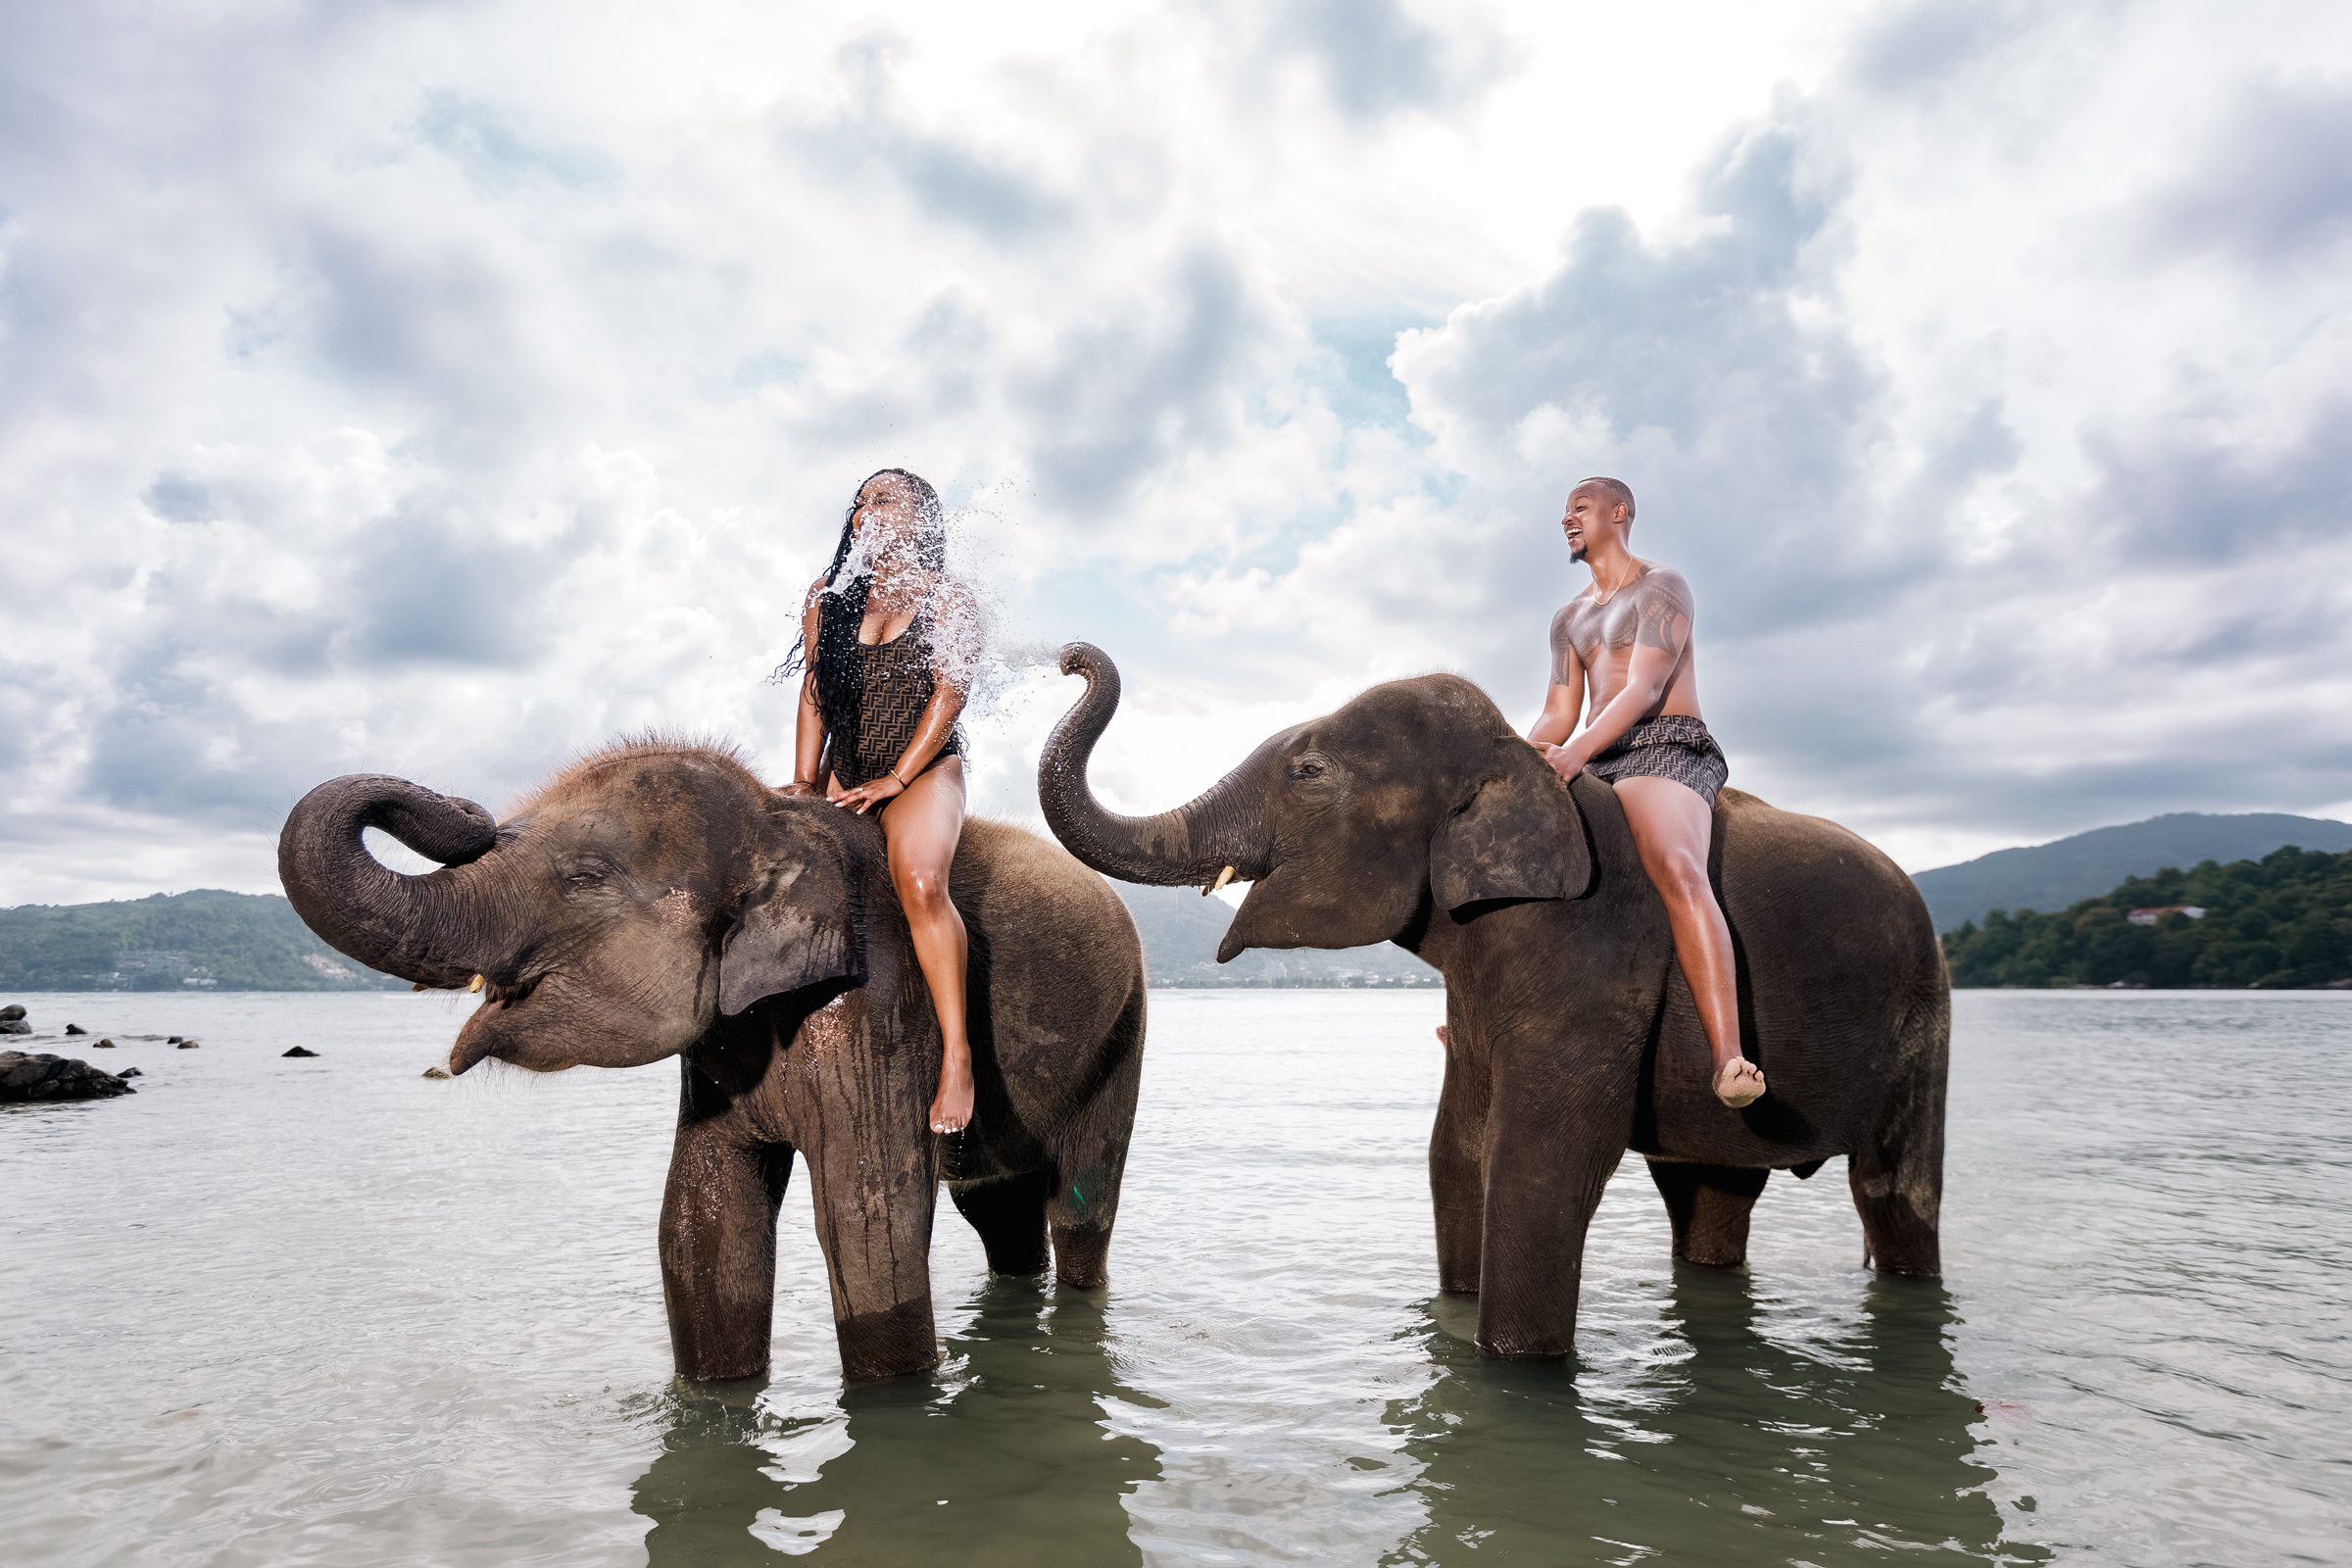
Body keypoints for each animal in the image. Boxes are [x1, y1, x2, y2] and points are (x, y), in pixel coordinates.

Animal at [279, 737, 1146, 1382]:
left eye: (582, 878)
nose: (468, 808)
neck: (775, 818)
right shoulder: (721, 1049)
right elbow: (704, 1220)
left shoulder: (882, 1000)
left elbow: (871, 1221)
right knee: (999, 1211)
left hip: (1124, 1027)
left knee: (1081, 1200)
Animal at [1038, 645, 1946, 1359]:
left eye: (1308, 772)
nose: (1069, 658)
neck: (1517, 760)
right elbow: (1457, 1151)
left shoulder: (1594, 949)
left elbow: (1538, 1167)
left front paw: (1516, 1371)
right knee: (1714, 1195)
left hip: (1922, 1013)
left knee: (1894, 1190)